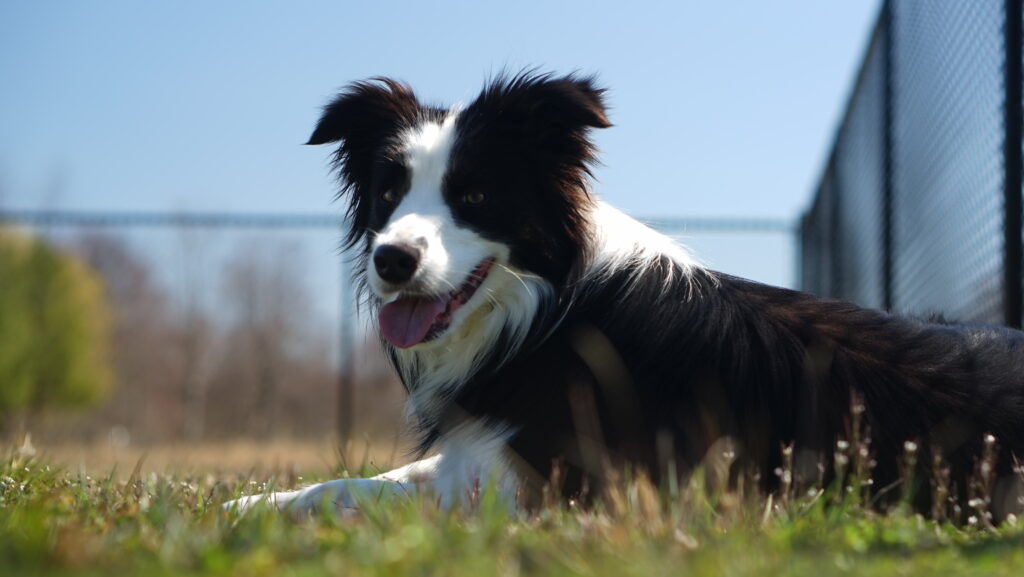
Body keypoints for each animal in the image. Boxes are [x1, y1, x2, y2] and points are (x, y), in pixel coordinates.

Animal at [228, 71, 1024, 518]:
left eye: (474, 195)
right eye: (389, 193)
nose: (391, 260)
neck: (546, 305)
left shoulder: (553, 482)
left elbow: (365, 490)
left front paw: (257, 507)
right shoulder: (493, 442)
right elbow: (369, 476)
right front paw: (243, 501)